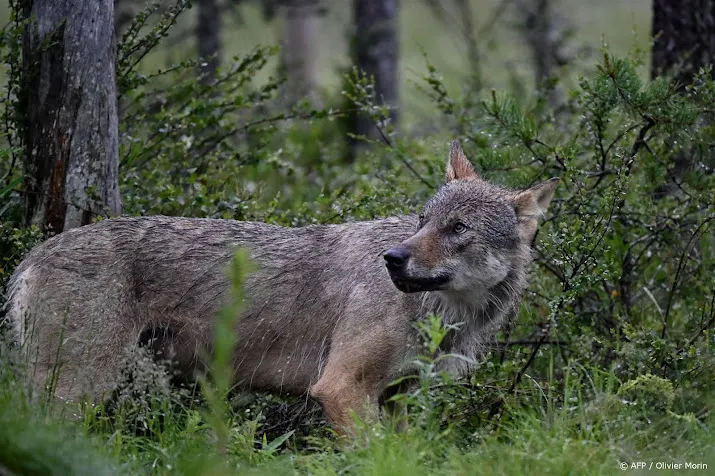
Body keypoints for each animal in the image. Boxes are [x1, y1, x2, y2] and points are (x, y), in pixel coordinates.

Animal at [4, 140, 560, 432]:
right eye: (423, 222)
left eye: (457, 228)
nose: (393, 259)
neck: (445, 317)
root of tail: (34, 254)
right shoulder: (341, 389)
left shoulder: (401, 399)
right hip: (76, 395)